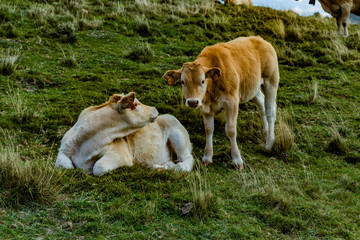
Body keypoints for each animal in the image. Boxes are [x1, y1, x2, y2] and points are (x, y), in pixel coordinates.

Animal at [55, 92, 194, 176]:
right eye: (136, 104)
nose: (155, 108)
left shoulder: (120, 154)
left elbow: (99, 167)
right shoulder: (63, 148)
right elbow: (66, 166)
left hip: (178, 136)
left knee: (187, 159)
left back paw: (171, 167)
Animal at [165, 36, 280, 170]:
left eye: (202, 81)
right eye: (183, 82)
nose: (193, 102)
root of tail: (259, 38)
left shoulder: (232, 102)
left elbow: (230, 130)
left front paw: (237, 160)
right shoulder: (205, 107)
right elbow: (208, 129)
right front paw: (207, 157)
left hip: (271, 80)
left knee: (270, 110)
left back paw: (269, 143)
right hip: (252, 88)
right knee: (261, 105)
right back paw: (265, 133)